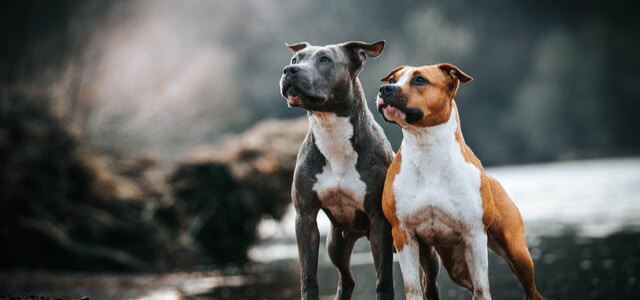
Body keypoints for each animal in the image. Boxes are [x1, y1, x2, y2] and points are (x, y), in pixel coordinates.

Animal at [378, 63, 544, 300]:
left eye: (420, 80)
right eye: (393, 79)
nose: (384, 89)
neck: (427, 149)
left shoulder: (474, 234)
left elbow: (482, 288)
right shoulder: (403, 234)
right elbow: (413, 288)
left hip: (517, 253)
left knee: (530, 290)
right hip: (455, 265)